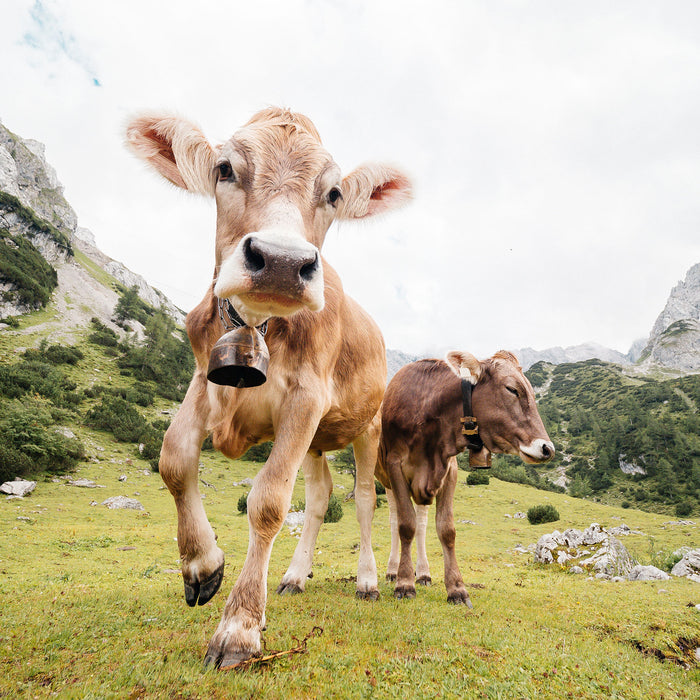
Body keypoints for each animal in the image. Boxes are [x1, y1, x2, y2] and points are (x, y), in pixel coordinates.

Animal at [126, 109, 412, 668]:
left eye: (334, 193)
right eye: (225, 168)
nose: (281, 261)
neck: (258, 324)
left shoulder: (306, 399)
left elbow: (269, 502)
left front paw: (239, 627)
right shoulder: (205, 377)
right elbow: (174, 458)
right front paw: (202, 564)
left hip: (366, 429)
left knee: (365, 500)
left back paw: (370, 580)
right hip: (318, 443)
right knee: (320, 498)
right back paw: (296, 575)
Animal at [374, 352, 556, 604]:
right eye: (512, 389)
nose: (548, 448)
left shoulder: (449, 470)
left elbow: (446, 529)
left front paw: (456, 588)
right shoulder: (395, 466)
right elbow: (405, 526)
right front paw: (404, 583)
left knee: (422, 523)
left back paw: (423, 573)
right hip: (386, 481)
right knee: (396, 521)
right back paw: (393, 571)